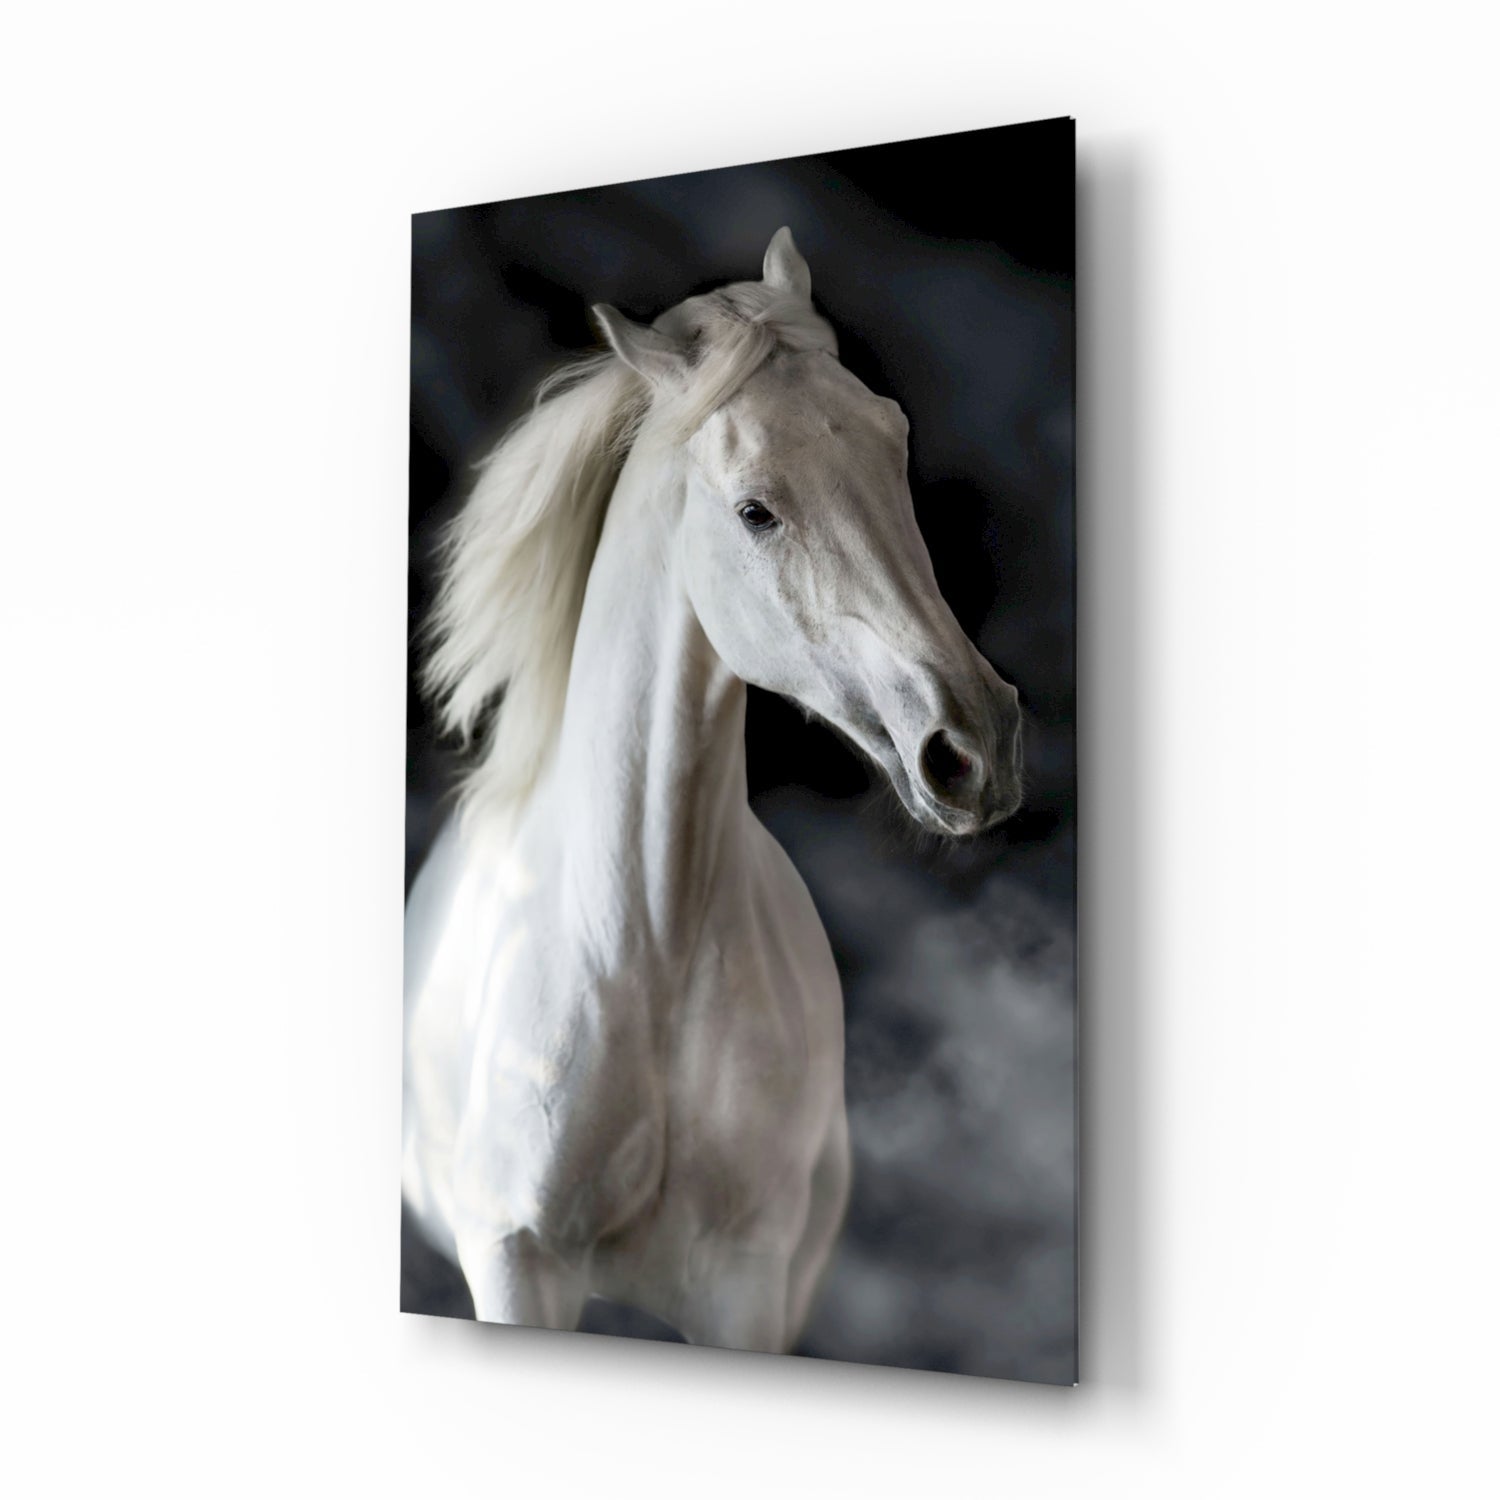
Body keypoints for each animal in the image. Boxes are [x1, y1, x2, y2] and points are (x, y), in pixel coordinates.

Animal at [402, 227, 1024, 1353]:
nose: (978, 743)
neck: (636, 958)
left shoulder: (747, 1287)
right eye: (755, 511)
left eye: (893, 442)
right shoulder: (516, 1266)